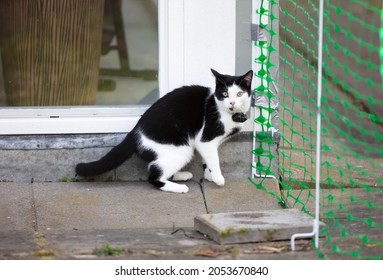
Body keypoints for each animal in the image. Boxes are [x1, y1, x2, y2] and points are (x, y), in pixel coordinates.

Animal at [76, 69, 254, 194]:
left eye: (239, 93)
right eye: (224, 93)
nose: (232, 102)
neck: (227, 112)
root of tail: (134, 132)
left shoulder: (210, 144)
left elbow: (207, 160)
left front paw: (209, 175)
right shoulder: (205, 139)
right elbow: (214, 160)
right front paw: (217, 178)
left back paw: (182, 176)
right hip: (182, 150)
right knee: (153, 175)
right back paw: (179, 188)